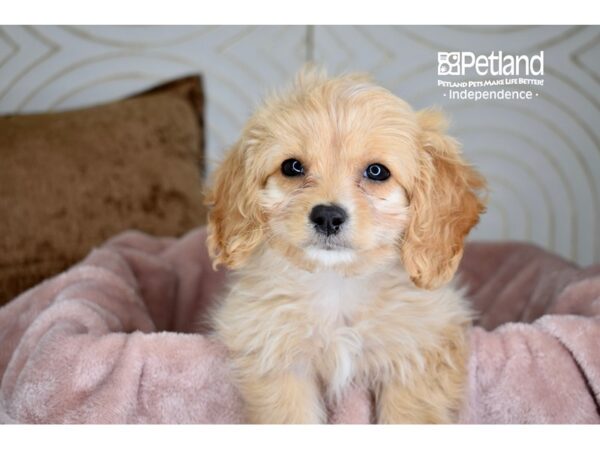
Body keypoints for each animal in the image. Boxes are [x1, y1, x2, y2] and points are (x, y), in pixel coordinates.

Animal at [206, 68, 488, 424]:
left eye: (377, 171)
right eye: (292, 167)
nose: (327, 216)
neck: (337, 283)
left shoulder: (418, 357)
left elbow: (408, 414)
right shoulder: (278, 359)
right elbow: (291, 415)